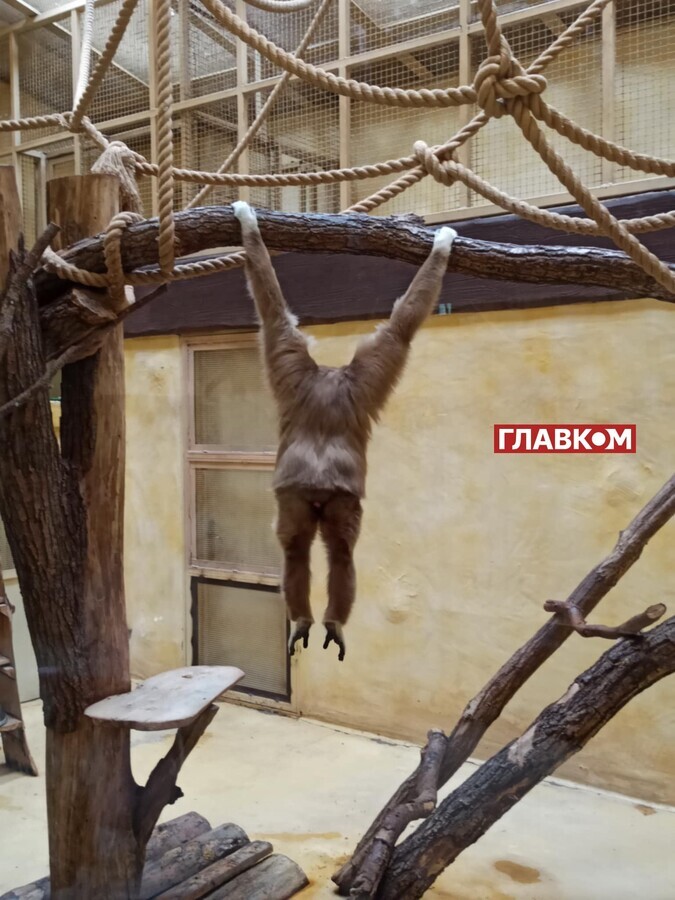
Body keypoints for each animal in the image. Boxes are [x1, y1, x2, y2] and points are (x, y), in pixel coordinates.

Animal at [232, 201, 457, 660]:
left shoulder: (296, 361)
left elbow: (272, 309)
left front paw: (248, 221)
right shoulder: (351, 367)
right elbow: (401, 326)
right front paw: (442, 244)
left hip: (306, 494)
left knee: (307, 550)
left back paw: (312, 618)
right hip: (330, 497)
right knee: (335, 551)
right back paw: (323, 620)